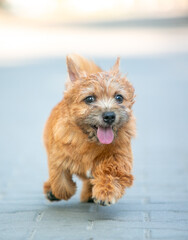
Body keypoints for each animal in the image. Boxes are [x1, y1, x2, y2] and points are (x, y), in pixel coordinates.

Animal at [43, 54, 136, 206]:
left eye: (119, 97)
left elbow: (110, 173)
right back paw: (50, 189)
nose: (109, 116)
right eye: (89, 99)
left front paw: (106, 192)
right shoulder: (58, 156)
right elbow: (60, 180)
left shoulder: (118, 155)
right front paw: (59, 191)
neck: (90, 140)